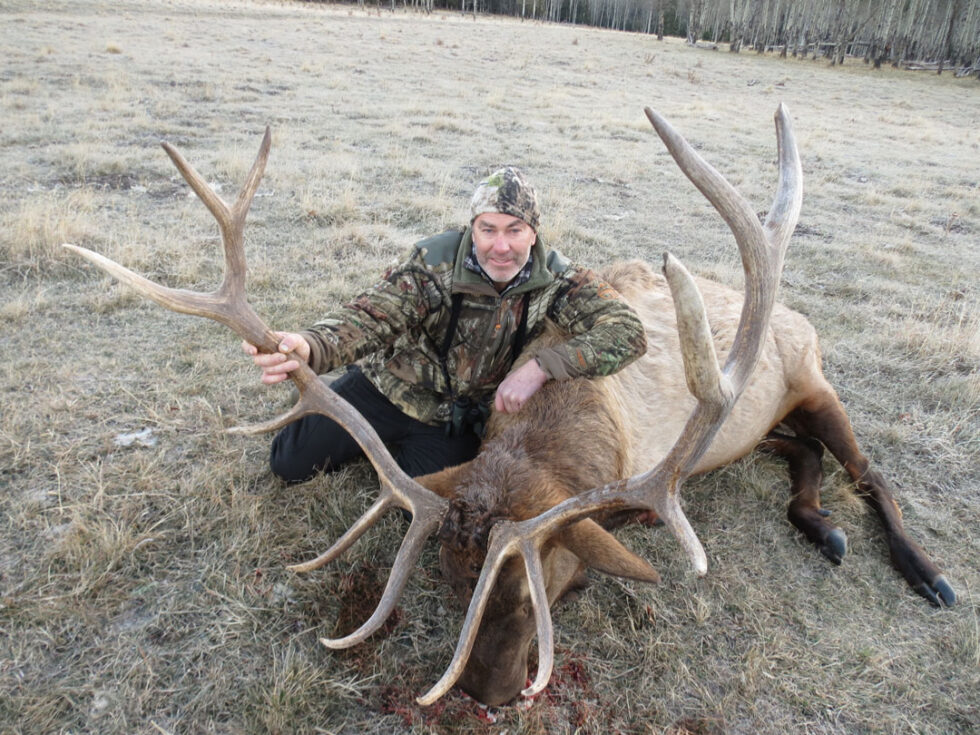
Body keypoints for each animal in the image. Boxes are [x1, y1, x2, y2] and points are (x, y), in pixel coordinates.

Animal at [64, 104, 955, 709]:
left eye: (547, 587)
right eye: (452, 580)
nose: (486, 694)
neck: (571, 431)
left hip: (812, 375)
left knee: (868, 468)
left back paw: (927, 572)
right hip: (763, 426)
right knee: (801, 451)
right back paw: (824, 526)